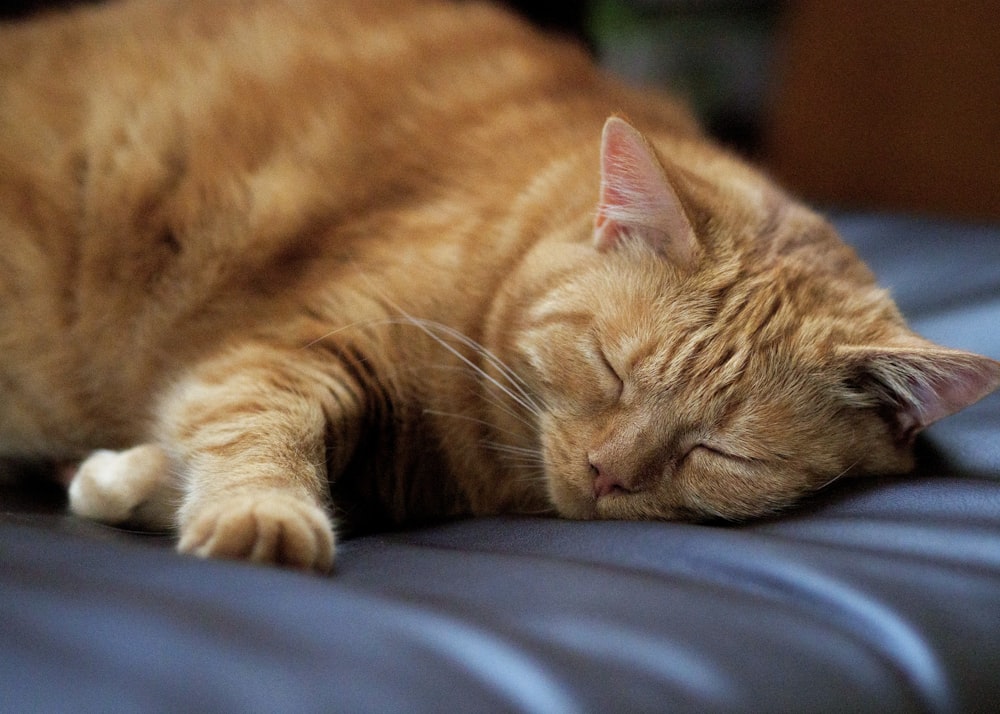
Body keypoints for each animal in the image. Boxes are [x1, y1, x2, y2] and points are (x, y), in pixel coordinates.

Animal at [1, 0, 1000, 568]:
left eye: (724, 453)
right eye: (608, 367)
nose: (607, 473)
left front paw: (127, 477)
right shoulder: (309, 339)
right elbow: (258, 413)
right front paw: (258, 512)